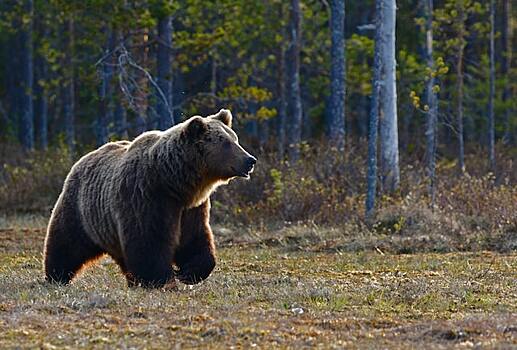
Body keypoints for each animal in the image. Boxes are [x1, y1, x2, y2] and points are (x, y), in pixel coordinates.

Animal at [43, 109, 256, 288]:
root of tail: (82, 159)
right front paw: (161, 279)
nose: (250, 160)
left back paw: (132, 280)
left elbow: (195, 239)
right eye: (226, 142)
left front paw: (188, 273)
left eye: (235, 138)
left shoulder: (191, 209)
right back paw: (56, 276)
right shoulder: (146, 197)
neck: (174, 183)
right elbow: (149, 241)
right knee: (66, 243)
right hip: (81, 209)